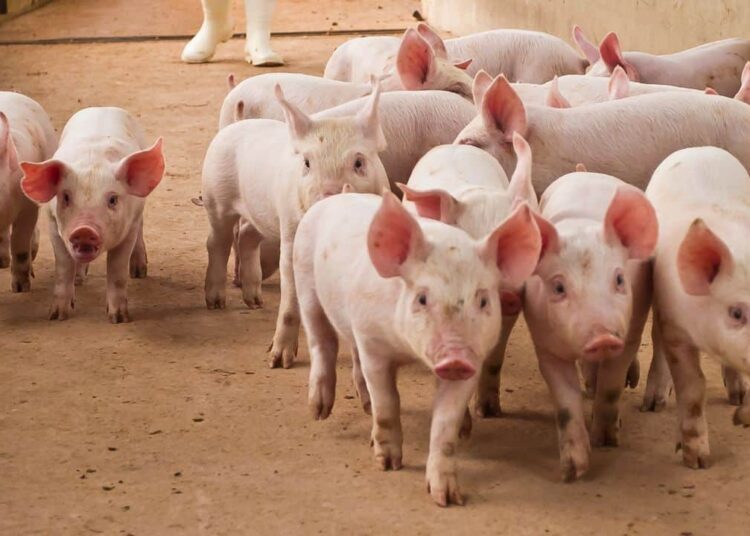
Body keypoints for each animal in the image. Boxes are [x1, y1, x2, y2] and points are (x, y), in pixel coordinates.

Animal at [20, 107, 165, 322]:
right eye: (66, 197)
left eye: (112, 199)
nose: (84, 230)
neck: (93, 165)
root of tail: (103, 107)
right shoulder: (53, 223)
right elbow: (63, 267)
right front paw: (57, 316)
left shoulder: (128, 228)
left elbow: (117, 269)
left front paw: (118, 318)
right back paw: (79, 280)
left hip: (139, 210)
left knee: (141, 229)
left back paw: (139, 273)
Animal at [201, 83, 390, 368]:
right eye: (307, 163)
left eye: (359, 162)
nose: (330, 196)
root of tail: (235, 124)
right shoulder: (290, 228)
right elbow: (290, 296)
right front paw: (277, 362)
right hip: (216, 196)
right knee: (217, 241)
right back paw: (215, 303)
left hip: (263, 213)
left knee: (246, 236)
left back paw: (254, 301)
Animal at [295, 191, 542, 506]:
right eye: (422, 298)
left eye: (483, 300)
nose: (455, 358)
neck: (407, 351)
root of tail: (335, 197)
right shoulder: (372, 342)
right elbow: (387, 403)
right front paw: (388, 465)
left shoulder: (473, 360)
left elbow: (444, 425)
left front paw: (447, 498)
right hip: (304, 280)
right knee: (321, 340)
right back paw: (319, 411)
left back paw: (364, 405)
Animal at [524, 172, 657, 481]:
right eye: (558, 287)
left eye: (619, 279)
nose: (602, 338)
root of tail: (586, 171)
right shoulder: (544, 344)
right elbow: (565, 405)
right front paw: (572, 472)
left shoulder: (630, 332)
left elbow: (612, 385)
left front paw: (607, 440)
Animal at [642, 147, 750, 469]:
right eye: (736, 313)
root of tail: (699, 148)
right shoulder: (675, 327)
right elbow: (693, 388)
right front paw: (697, 460)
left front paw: (740, 417)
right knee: (656, 339)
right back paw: (653, 404)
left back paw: (736, 395)